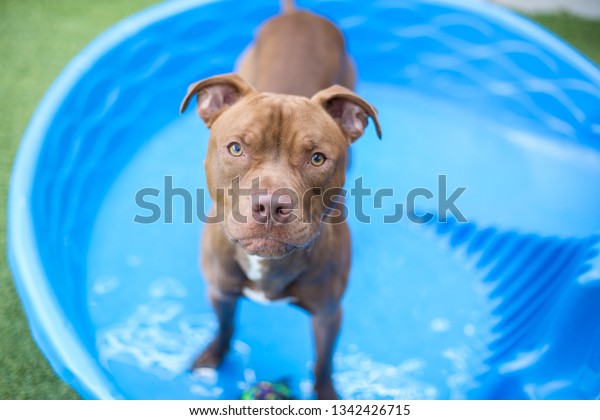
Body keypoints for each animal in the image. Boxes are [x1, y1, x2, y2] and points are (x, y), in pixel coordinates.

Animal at [180, 0, 382, 400]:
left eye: (317, 158)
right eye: (236, 148)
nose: (271, 206)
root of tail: (297, 14)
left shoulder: (328, 313)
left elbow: (323, 362)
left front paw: (326, 395)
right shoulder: (220, 292)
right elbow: (225, 327)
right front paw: (213, 356)